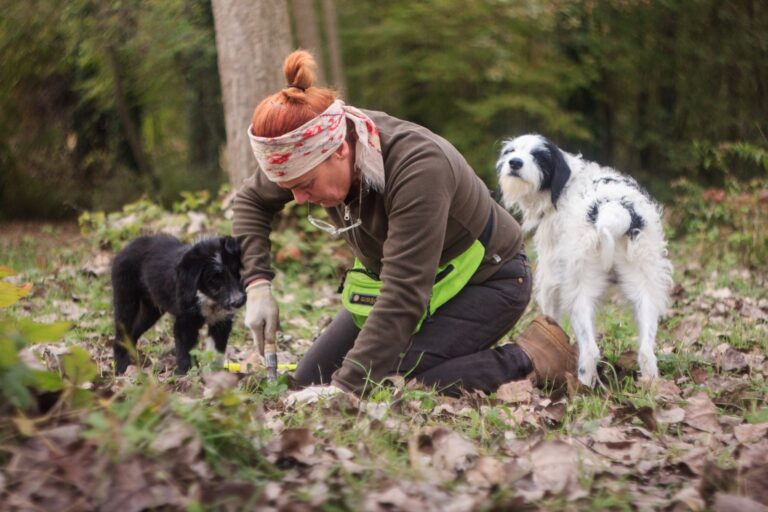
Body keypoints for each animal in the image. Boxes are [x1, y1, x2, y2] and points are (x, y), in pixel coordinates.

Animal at [111, 234, 246, 374]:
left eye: (236, 271)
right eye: (214, 279)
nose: (239, 300)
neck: (206, 297)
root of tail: (125, 248)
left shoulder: (221, 321)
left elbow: (216, 353)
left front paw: (216, 375)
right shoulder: (185, 323)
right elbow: (185, 351)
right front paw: (185, 373)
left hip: (150, 310)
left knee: (132, 334)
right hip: (126, 300)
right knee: (120, 336)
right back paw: (120, 368)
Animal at [498, 134, 672, 386]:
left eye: (538, 156)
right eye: (511, 151)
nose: (514, 163)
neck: (566, 184)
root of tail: (614, 210)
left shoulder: (551, 277)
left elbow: (550, 316)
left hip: (579, 292)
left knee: (590, 351)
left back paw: (583, 387)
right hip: (644, 288)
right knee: (646, 352)